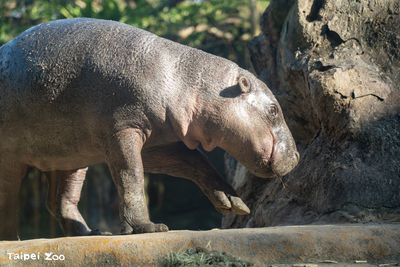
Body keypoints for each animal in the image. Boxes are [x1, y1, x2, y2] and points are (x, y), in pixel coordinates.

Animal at [0, 18, 300, 241]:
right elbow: (131, 175)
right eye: (274, 110)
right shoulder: (123, 129)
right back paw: (13, 239)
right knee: (9, 200)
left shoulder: (158, 141)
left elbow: (195, 161)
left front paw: (234, 202)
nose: (297, 157)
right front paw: (149, 227)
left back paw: (91, 233)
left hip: (69, 156)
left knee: (60, 200)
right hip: (12, 159)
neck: (188, 81)